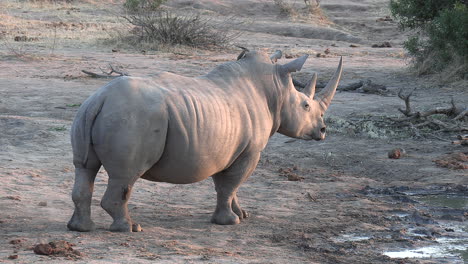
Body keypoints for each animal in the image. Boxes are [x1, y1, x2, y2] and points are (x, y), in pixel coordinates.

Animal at [67, 49, 342, 231]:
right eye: (306, 106)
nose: (322, 130)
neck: (276, 89)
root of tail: (100, 98)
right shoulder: (250, 151)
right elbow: (229, 185)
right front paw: (229, 221)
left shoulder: (228, 149)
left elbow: (230, 186)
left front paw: (242, 214)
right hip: (133, 119)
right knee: (125, 177)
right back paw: (130, 228)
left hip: (90, 113)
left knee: (85, 168)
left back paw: (81, 228)